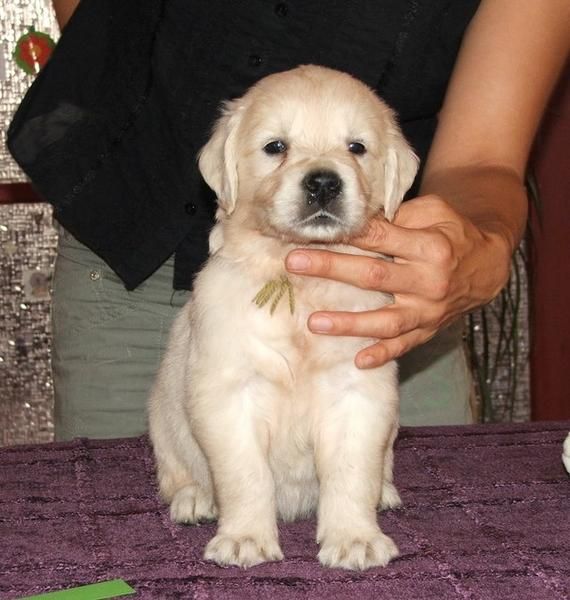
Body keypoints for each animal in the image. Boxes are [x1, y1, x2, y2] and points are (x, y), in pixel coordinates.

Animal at [149, 63, 418, 568]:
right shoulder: (229, 393)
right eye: (276, 146)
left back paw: (386, 493)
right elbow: (246, 475)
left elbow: (352, 472)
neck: (296, 277)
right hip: (162, 420)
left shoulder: (358, 390)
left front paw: (355, 538)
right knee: (178, 472)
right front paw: (245, 539)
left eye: (356, 147)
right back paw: (195, 498)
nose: (324, 182)